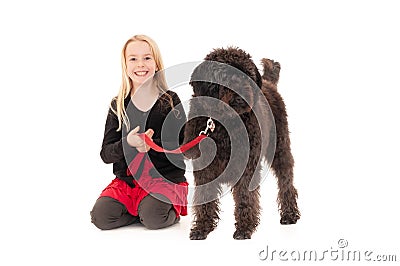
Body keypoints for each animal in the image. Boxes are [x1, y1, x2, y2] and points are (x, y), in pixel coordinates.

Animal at [184, 46, 300, 240]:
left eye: (247, 74)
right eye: (225, 75)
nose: (242, 94)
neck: (223, 122)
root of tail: (268, 83)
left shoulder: (247, 166)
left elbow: (246, 197)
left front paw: (245, 227)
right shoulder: (203, 169)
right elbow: (204, 197)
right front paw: (202, 227)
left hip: (280, 148)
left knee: (286, 180)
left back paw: (289, 214)